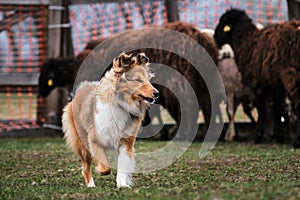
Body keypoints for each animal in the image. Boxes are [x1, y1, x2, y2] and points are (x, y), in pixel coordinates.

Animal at [61, 51, 159, 188]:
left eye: (148, 80)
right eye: (138, 80)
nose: (157, 93)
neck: (122, 104)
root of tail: (82, 88)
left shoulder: (126, 142)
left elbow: (122, 166)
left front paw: (122, 185)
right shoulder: (94, 139)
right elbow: (105, 168)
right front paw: (100, 170)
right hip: (81, 142)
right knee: (86, 166)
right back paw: (91, 185)